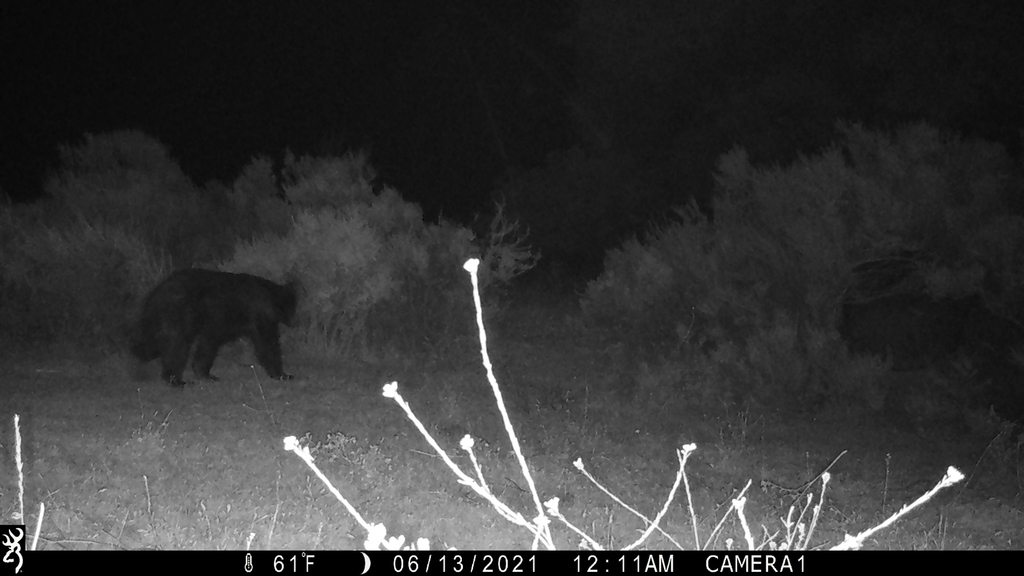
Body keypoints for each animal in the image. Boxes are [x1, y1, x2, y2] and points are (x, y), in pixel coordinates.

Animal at [130, 269, 298, 385]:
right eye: (292, 307)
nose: (293, 321)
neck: (269, 296)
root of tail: (155, 295)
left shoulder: (218, 324)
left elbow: (208, 345)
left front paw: (205, 374)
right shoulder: (260, 314)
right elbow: (267, 342)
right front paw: (283, 374)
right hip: (179, 315)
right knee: (177, 346)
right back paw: (177, 380)